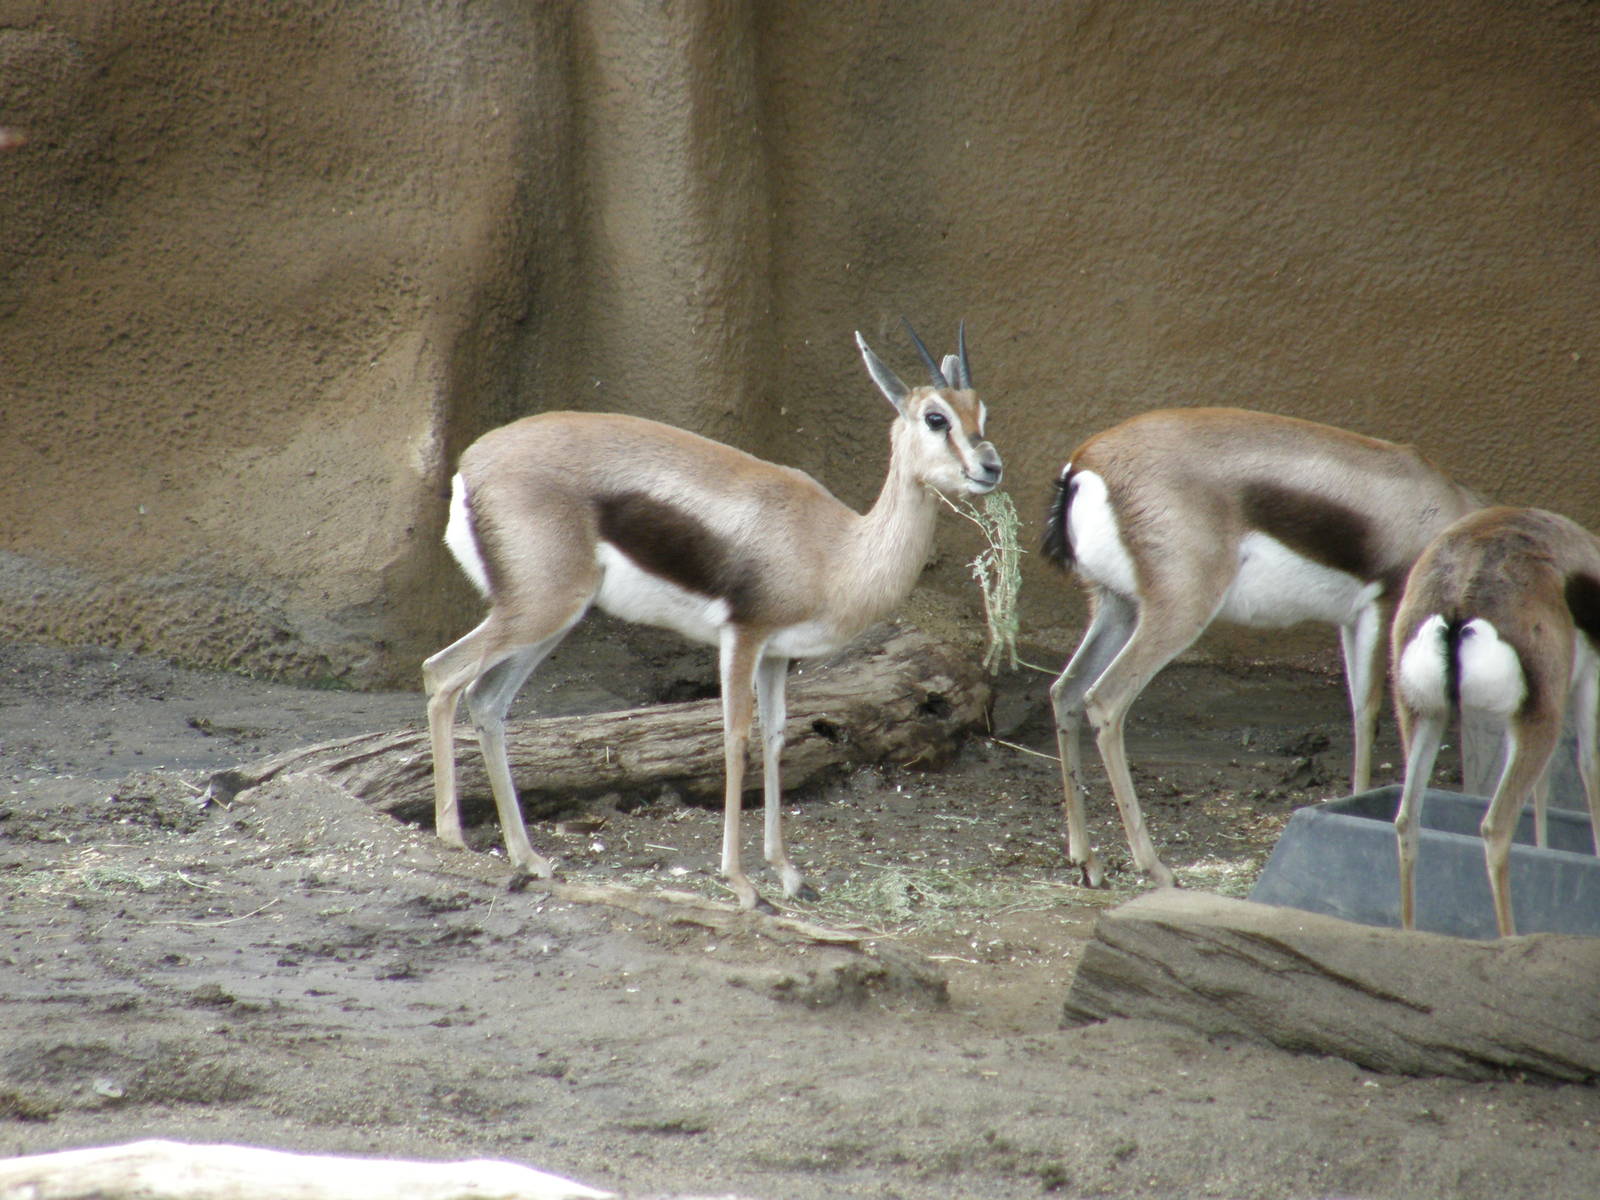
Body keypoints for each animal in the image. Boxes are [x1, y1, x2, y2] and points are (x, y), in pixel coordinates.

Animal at [423, 324, 1003, 911]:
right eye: (936, 418)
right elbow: (735, 739)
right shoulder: (742, 636)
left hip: (552, 619)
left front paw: (788, 874)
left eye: (981, 411)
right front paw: (743, 884)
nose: (990, 467)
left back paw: (528, 857)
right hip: (539, 611)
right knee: (441, 672)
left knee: (486, 700)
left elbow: (775, 737)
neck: (833, 550)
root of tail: (471, 464)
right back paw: (453, 836)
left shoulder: (777, 654)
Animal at [1041, 407, 1481, 887]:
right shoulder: (1385, 609)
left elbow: (1359, 714)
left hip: (1116, 605)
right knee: (1104, 700)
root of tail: (1084, 464)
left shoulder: (1350, 620)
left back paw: (1087, 861)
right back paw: (1155, 867)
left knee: (1065, 691)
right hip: (1177, 613)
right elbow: (1374, 716)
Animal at [1391, 506, 1600, 936]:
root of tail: (1458, 600)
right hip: (1538, 722)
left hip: (1425, 716)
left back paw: (1409, 933)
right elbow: (1589, 768)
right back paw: (1510, 938)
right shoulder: (1585, 684)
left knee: (1406, 820)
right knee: (1496, 827)